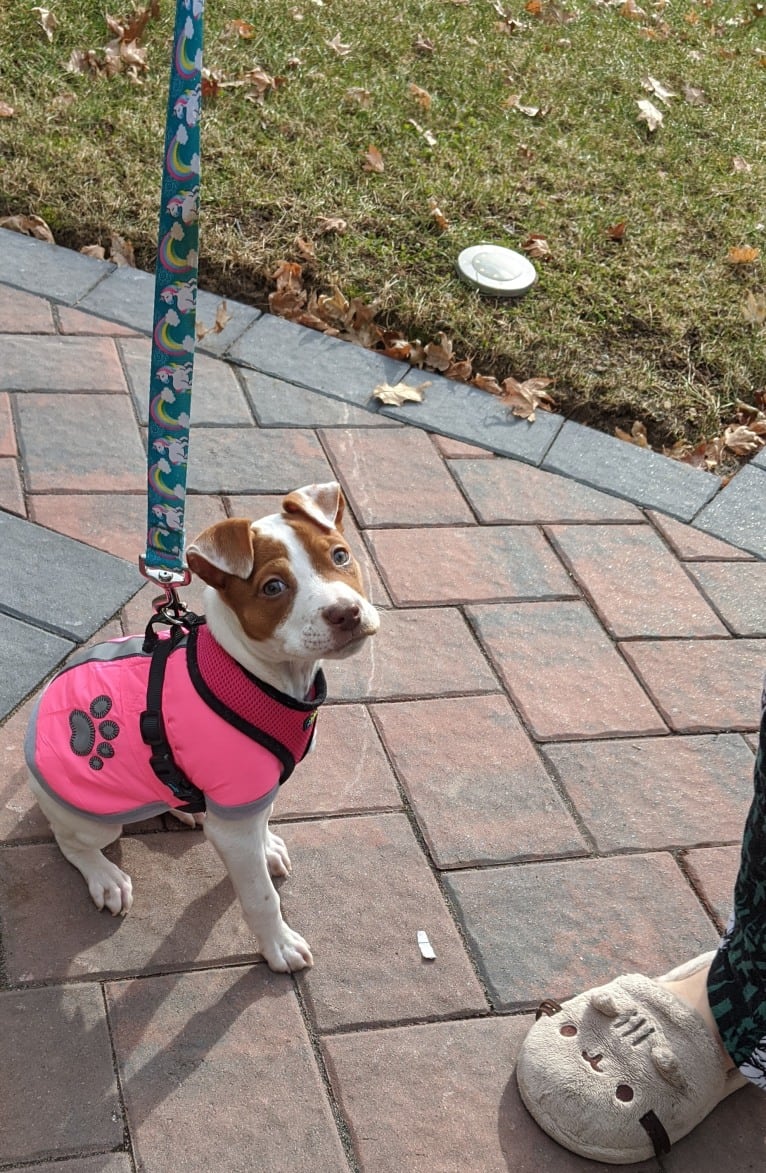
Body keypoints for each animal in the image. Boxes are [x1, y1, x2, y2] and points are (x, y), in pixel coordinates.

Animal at [27, 480, 380, 975]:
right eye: (273, 587)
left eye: (340, 555)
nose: (346, 612)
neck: (260, 675)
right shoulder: (234, 823)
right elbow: (260, 897)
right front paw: (279, 945)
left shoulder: (251, 791)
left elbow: (262, 821)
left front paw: (267, 845)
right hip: (91, 819)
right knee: (69, 841)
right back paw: (105, 876)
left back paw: (186, 808)